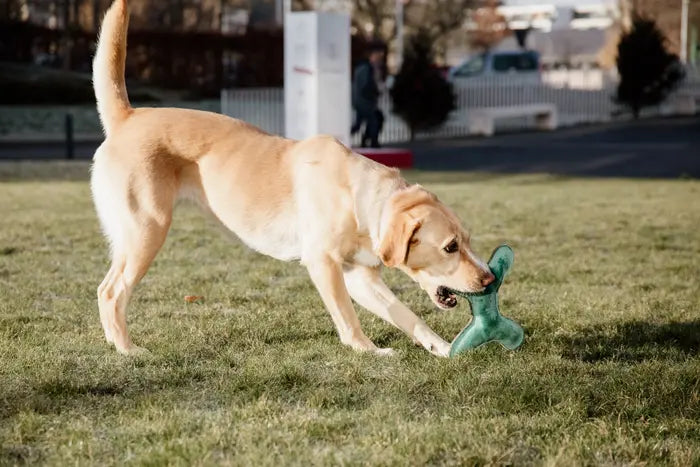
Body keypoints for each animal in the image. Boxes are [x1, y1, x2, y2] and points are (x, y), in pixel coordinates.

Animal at [93, 0, 494, 358]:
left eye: (467, 240)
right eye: (450, 247)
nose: (490, 279)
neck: (359, 197)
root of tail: (128, 117)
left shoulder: (360, 276)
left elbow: (409, 317)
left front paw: (444, 349)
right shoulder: (324, 263)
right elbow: (347, 318)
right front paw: (368, 351)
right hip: (147, 231)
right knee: (110, 292)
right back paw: (129, 350)